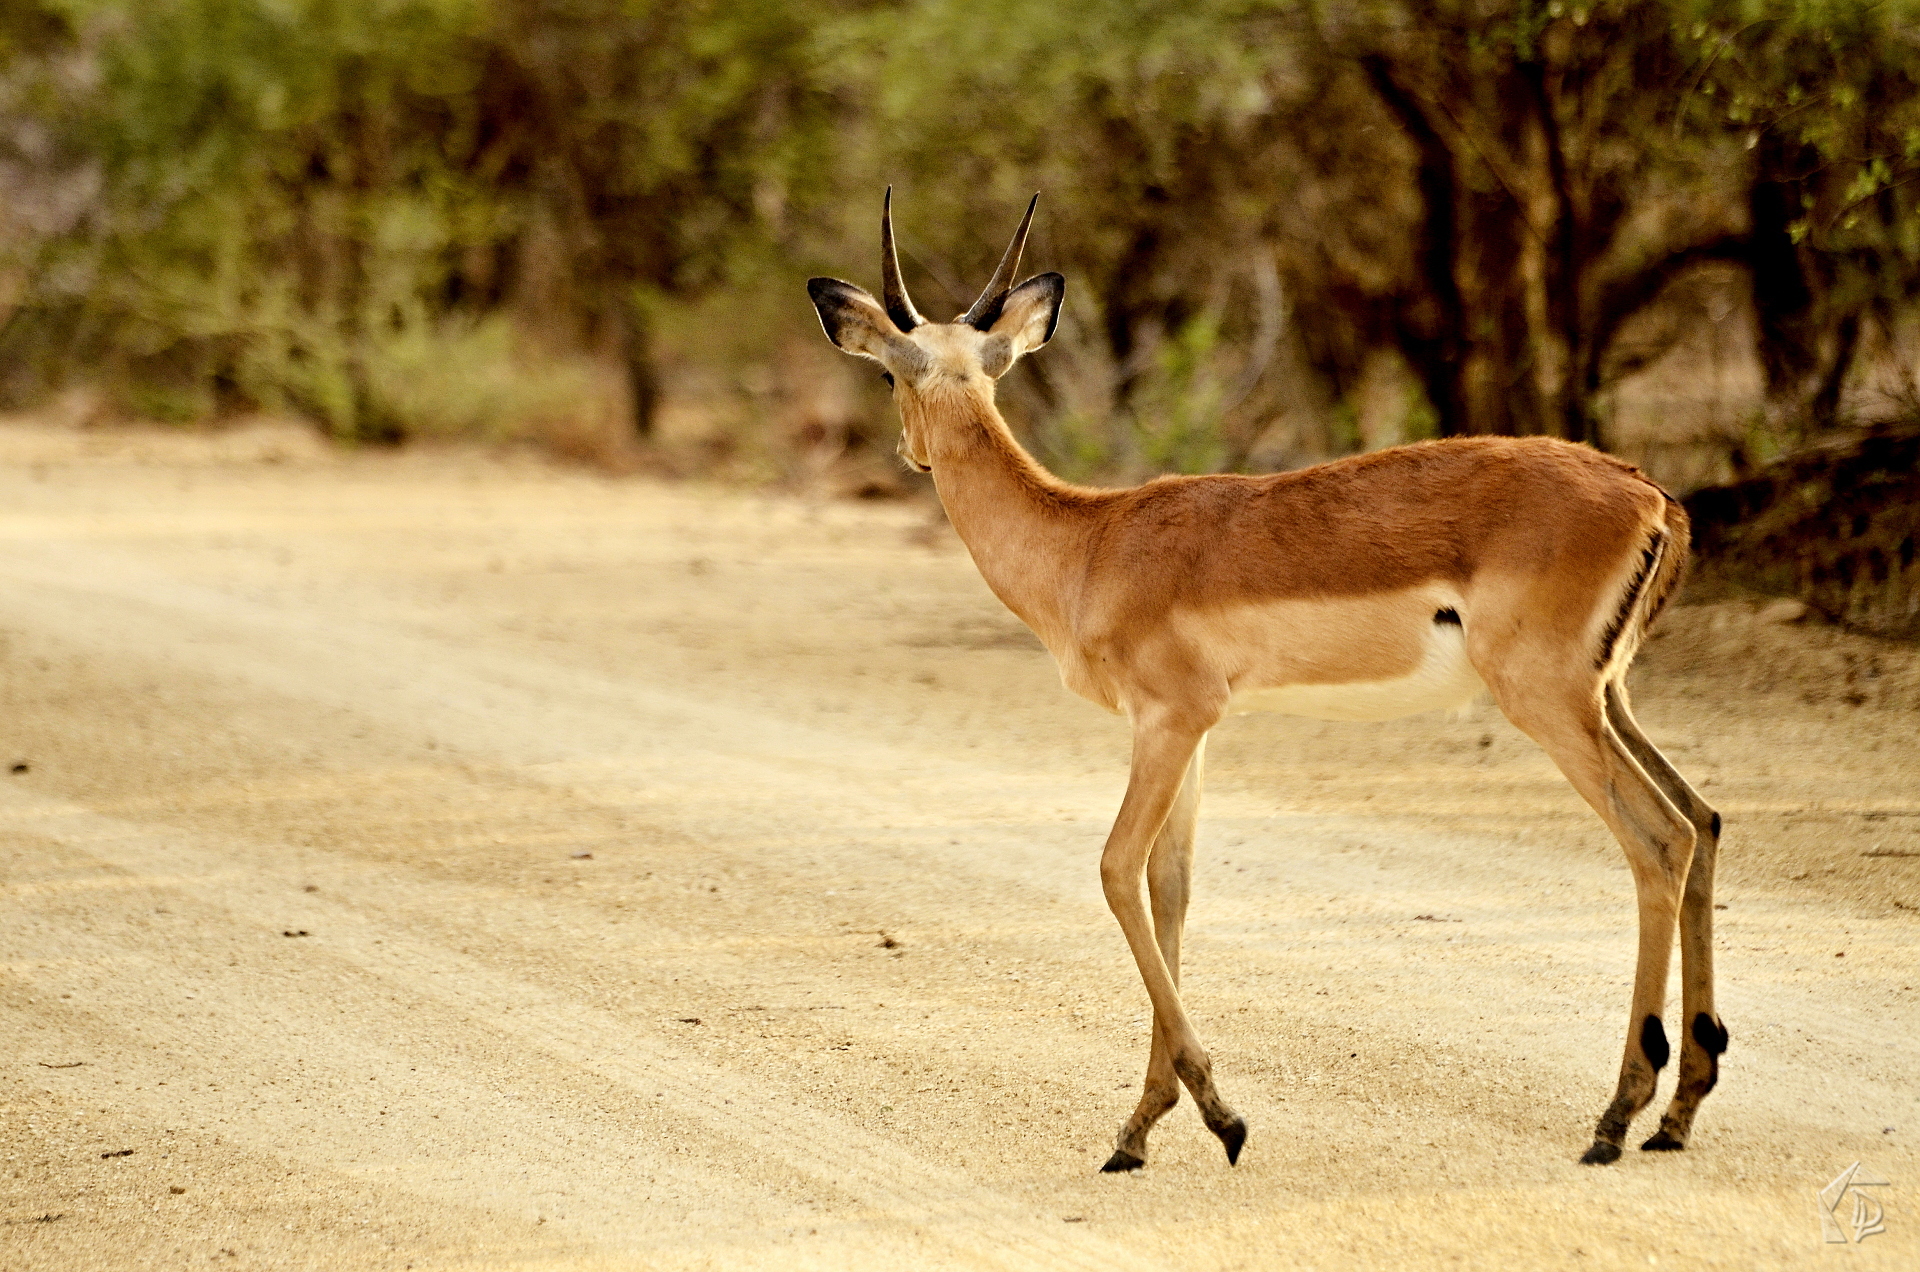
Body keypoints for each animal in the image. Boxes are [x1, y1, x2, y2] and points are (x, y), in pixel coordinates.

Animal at [806, 190, 1727, 1172]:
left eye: (886, 377)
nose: (908, 454)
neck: (1090, 545)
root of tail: (1650, 495)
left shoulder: (1168, 720)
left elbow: (1118, 868)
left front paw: (1221, 1118)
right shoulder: (1193, 732)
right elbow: (1171, 887)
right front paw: (1142, 1128)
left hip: (1550, 702)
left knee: (1660, 838)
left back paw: (1616, 1117)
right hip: (1606, 696)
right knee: (1703, 819)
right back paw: (1679, 1110)